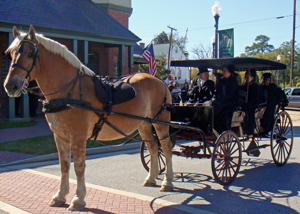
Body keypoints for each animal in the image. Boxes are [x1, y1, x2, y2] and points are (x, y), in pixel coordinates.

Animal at [3, 25, 173, 211]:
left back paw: (168, 182)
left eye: (30, 53)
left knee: (166, 148)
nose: (11, 86)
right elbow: (64, 165)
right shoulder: (59, 136)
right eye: (10, 53)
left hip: (161, 123)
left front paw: (78, 199)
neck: (69, 90)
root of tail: (160, 81)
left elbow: (79, 166)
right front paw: (60, 195)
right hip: (144, 124)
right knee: (152, 148)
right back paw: (151, 178)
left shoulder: (78, 135)